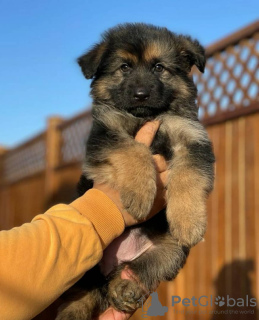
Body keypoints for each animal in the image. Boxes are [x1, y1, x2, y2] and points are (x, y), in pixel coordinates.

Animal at [56, 23, 215, 320]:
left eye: (159, 67)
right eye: (125, 67)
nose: (141, 94)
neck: (146, 115)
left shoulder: (191, 139)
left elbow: (188, 177)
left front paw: (189, 222)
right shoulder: (106, 134)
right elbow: (135, 149)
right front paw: (141, 196)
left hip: (170, 252)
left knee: (141, 269)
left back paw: (124, 288)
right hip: (85, 258)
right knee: (82, 289)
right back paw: (73, 310)